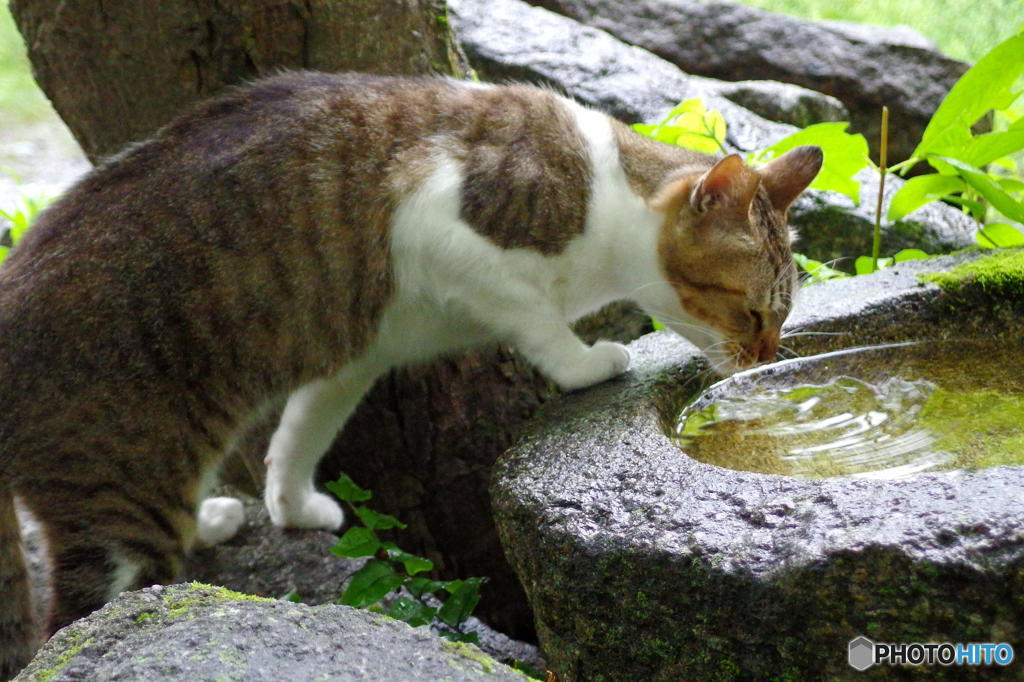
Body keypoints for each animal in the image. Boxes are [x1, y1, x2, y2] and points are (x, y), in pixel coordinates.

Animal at [0, 70, 815, 675]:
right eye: (752, 313)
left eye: (781, 317)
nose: (767, 357)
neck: (609, 203)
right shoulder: (438, 226)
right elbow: (536, 316)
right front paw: (587, 362)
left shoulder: (356, 355)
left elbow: (302, 431)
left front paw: (294, 505)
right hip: (123, 509)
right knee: (72, 622)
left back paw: (217, 515)